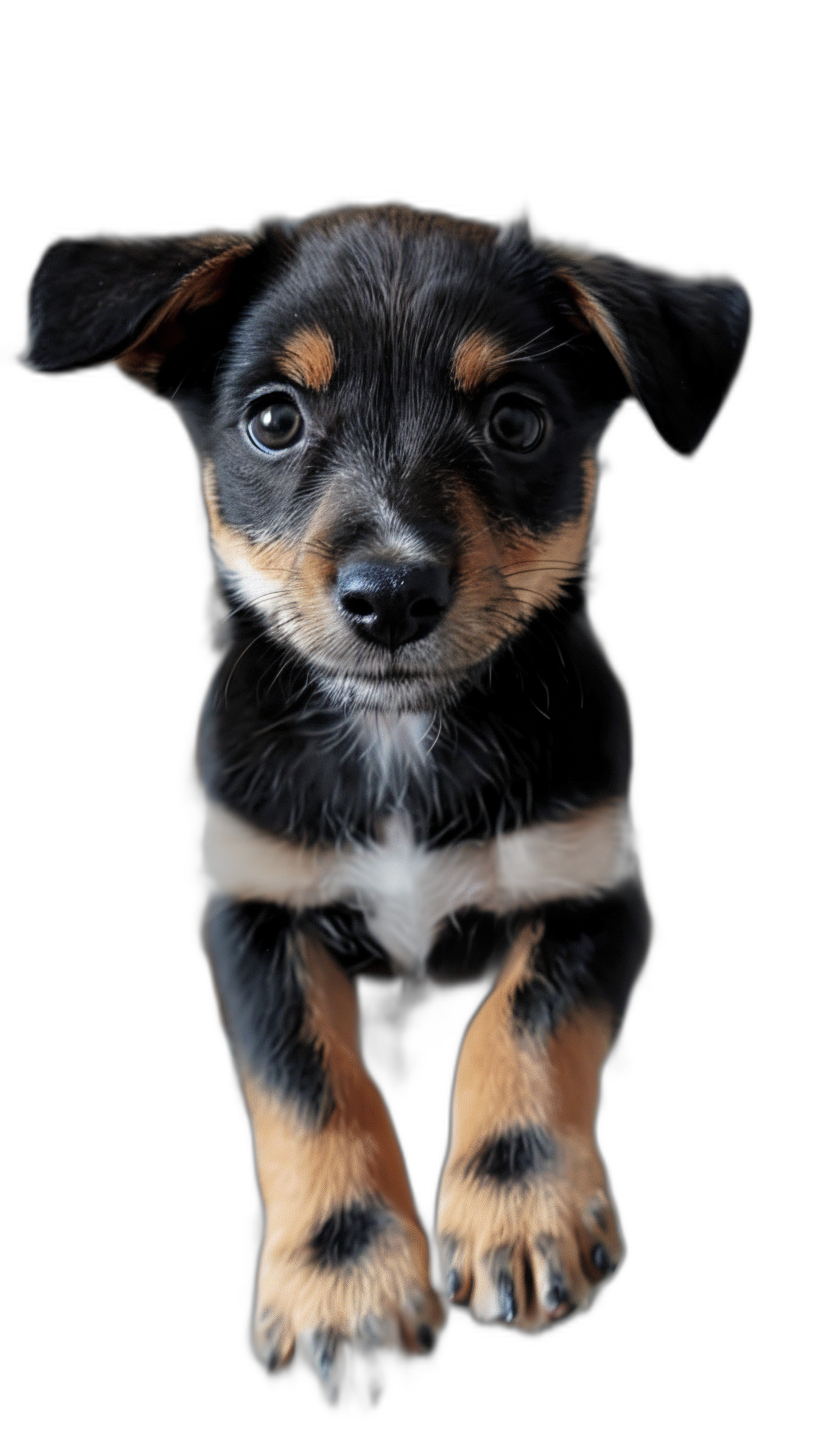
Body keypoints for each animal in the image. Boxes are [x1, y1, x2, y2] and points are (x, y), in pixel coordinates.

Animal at [23, 205, 751, 1397]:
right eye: (275, 418)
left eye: (516, 421)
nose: (393, 596)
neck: (398, 736)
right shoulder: (254, 912)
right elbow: (309, 1085)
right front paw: (345, 1280)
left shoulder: (592, 889)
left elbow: (524, 1026)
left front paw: (519, 1213)